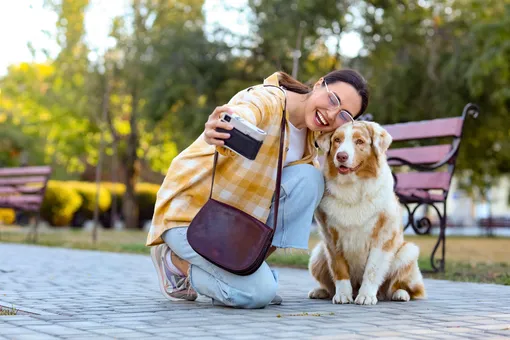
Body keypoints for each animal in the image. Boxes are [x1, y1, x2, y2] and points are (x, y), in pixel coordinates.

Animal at [308, 121, 424, 306]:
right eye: (337, 140)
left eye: (360, 141)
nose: (341, 156)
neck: (352, 189)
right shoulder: (331, 238)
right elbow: (339, 269)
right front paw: (343, 295)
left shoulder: (383, 236)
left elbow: (372, 269)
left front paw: (366, 296)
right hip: (317, 255)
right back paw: (320, 291)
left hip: (408, 252)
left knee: (407, 288)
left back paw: (400, 294)